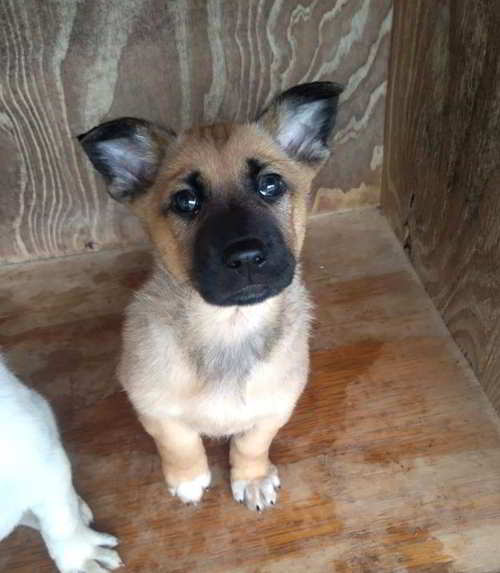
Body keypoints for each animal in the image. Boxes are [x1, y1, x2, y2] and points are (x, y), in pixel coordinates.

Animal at [79, 81, 342, 510]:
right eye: (186, 201)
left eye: (271, 185)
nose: (246, 257)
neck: (229, 326)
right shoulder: (155, 408)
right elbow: (180, 444)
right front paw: (188, 478)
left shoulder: (275, 407)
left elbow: (252, 443)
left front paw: (251, 478)